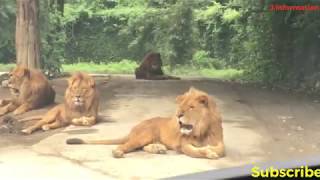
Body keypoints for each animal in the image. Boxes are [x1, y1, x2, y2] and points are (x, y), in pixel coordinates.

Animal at [66, 87, 224, 159]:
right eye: (181, 106)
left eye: (191, 107)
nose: (178, 115)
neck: (201, 129)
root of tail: (133, 128)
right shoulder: (183, 144)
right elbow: (195, 151)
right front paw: (208, 152)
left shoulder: (219, 141)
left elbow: (221, 150)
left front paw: (211, 150)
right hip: (144, 135)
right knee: (126, 145)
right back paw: (118, 152)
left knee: (141, 147)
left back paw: (158, 149)